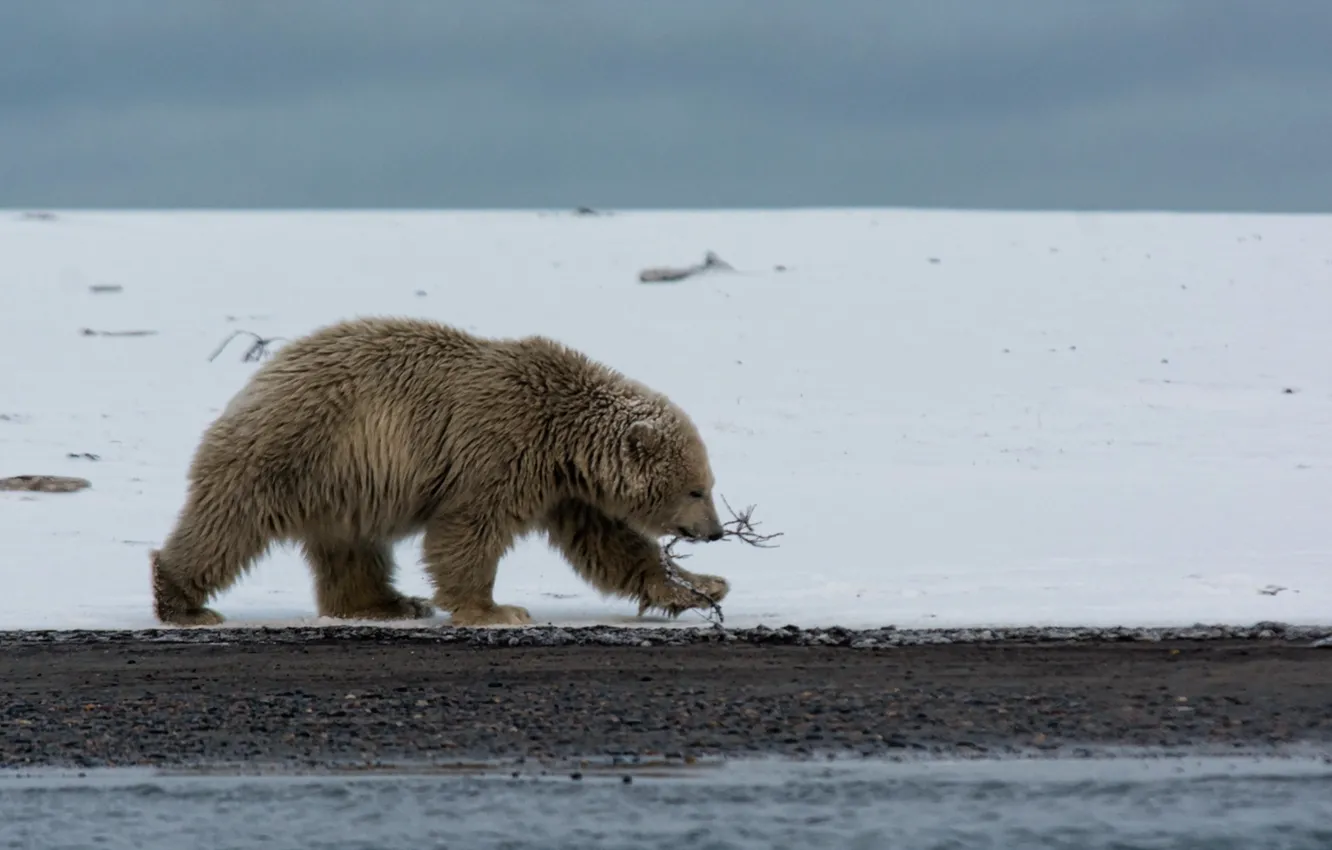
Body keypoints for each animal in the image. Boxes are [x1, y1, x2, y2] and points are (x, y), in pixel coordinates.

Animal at [150, 316, 731, 628]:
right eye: (696, 489)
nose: (717, 532)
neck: (562, 432)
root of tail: (259, 377)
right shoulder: (501, 444)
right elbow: (469, 526)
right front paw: (497, 609)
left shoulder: (568, 489)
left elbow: (612, 545)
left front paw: (703, 587)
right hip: (296, 449)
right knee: (229, 526)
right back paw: (183, 602)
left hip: (342, 482)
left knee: (350, 548)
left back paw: (389, 603)